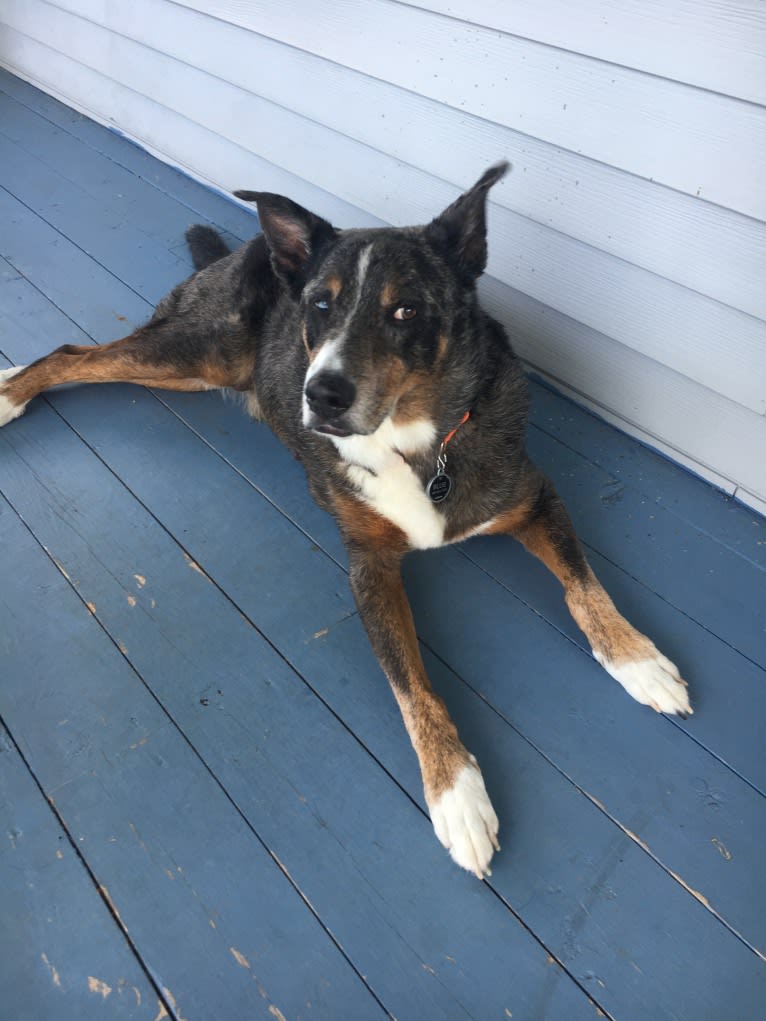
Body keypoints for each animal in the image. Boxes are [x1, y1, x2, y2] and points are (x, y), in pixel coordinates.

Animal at [0, 165, 694, 878]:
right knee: (75, 351)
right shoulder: (370, 568)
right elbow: (413, 687)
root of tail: (250, 247)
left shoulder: (532, 497)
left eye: (406, 310)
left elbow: (584, 586)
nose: (322, 395)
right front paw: (456, 793)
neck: (420, 444)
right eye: (320, 306)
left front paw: (638, 659)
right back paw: (8, 392)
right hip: (199, 351)